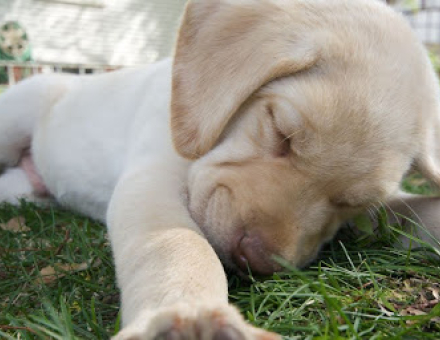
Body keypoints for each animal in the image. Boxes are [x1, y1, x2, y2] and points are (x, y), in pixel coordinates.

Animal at [0, 0, 440, 338]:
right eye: (281, 132)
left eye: (349, 204)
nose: (255, 260)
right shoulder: (151, 180)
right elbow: (177, 245)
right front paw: (188, 316)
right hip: (18, 112)